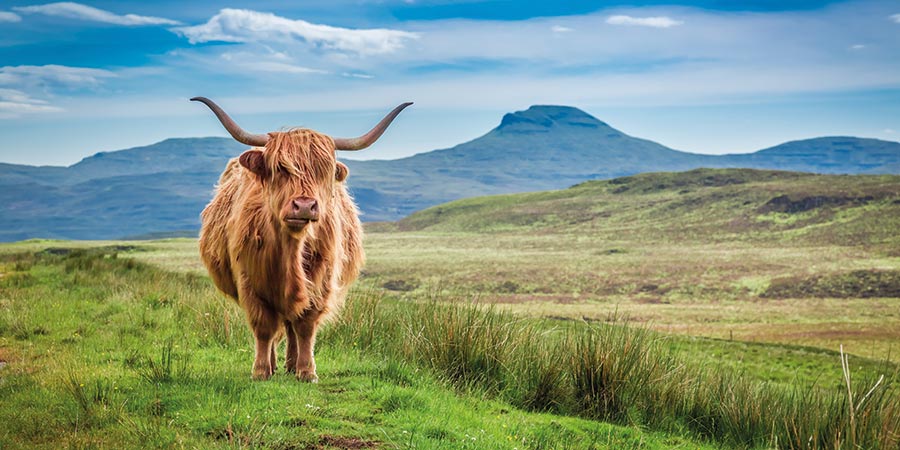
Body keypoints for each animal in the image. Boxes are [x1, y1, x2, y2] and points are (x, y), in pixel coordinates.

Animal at [193, 97, 411, 382]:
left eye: (324, 172)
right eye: (280, 169)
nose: (305, 206)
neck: (290, 251)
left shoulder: (321, 281)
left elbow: (305, 325)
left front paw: (307, 371)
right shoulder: (249, 281)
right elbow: (264, 327)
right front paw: (261, 371)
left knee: (290, 324)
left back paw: (291, 363)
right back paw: (275, 364)